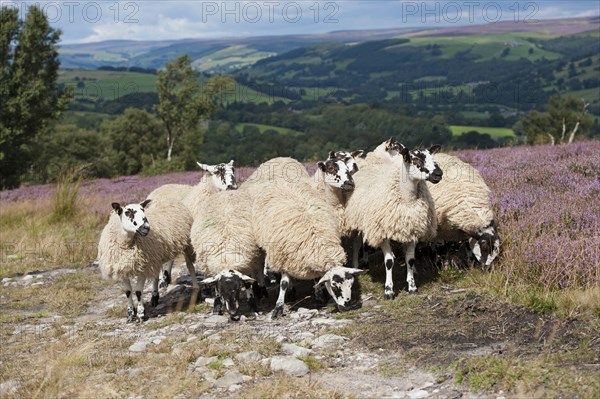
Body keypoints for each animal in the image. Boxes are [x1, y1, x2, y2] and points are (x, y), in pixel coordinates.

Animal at [344, 142, 442, 298]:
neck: (407, 199)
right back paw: (355, 267)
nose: (439, 174)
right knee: (357, 244)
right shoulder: (382, 232)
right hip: (355, 221)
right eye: (416, 159)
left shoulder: (412, 229)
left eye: (432, 157)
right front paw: (389, 290)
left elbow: (410, 260)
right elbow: (389, 261)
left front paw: (412, 286)